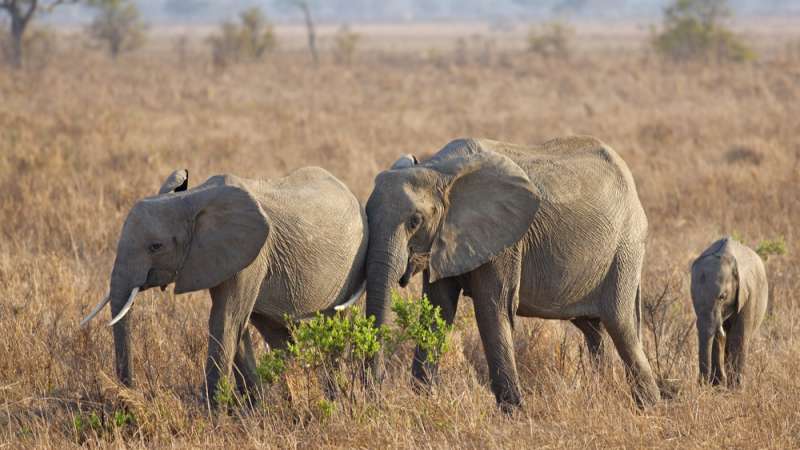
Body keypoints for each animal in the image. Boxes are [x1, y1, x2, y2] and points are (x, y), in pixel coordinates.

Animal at [80, 167, 367, 403]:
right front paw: (255, 408)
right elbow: (236, 324)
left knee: (336, 321)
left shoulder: (251, 255)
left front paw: (211, 413)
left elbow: (226, 319)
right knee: (275, 330)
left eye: (156, 247)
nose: (129, 393)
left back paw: (335, 398)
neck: (192, 199)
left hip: (352, 268)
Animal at [364, 136, 660, 410]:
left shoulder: (505, 241)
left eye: (415, 221)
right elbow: (439, 308)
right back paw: (601, 392)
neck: (438, 171)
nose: (378, 392)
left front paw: (513, 411)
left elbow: (492, 309)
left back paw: (649, 406)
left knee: (620, 324)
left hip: (626, 247)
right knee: (593, 328)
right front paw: (424, 398)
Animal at [691, 237, 768, 388]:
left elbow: (739, 336)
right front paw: (717, 386)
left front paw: (736, 389)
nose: (701, 384)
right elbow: (717, 337)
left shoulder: (748, 293)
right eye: (692, 297)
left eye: (722, 297)